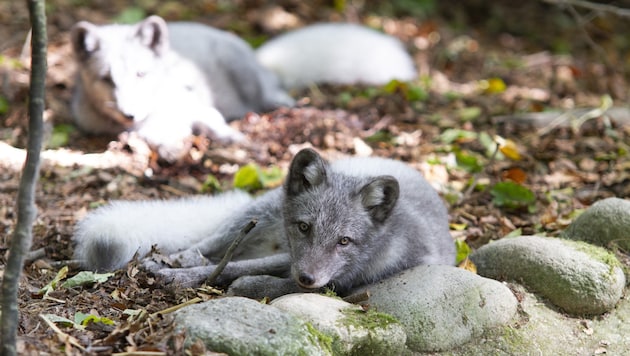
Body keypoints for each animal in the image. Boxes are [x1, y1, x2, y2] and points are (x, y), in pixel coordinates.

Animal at [70, 16, 420, 159]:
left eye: (141, 74)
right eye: (107, 78)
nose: (129, 114)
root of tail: (258, 58)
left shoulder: (194, 104)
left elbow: (212, 121)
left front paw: (233, 138)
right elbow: (151, 136)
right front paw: (170, 147)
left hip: (247, 78)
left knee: (274, 96)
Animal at [74, 149, 456, 298]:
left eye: (344, 241)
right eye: (304, 228)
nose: (307, 276)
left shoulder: (339, 283)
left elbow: (267, 280)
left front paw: (245, 284)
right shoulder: (294, 258)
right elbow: (235, 267)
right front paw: (174, 272)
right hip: (258, 216)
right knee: (213, 243)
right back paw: (177, 258)